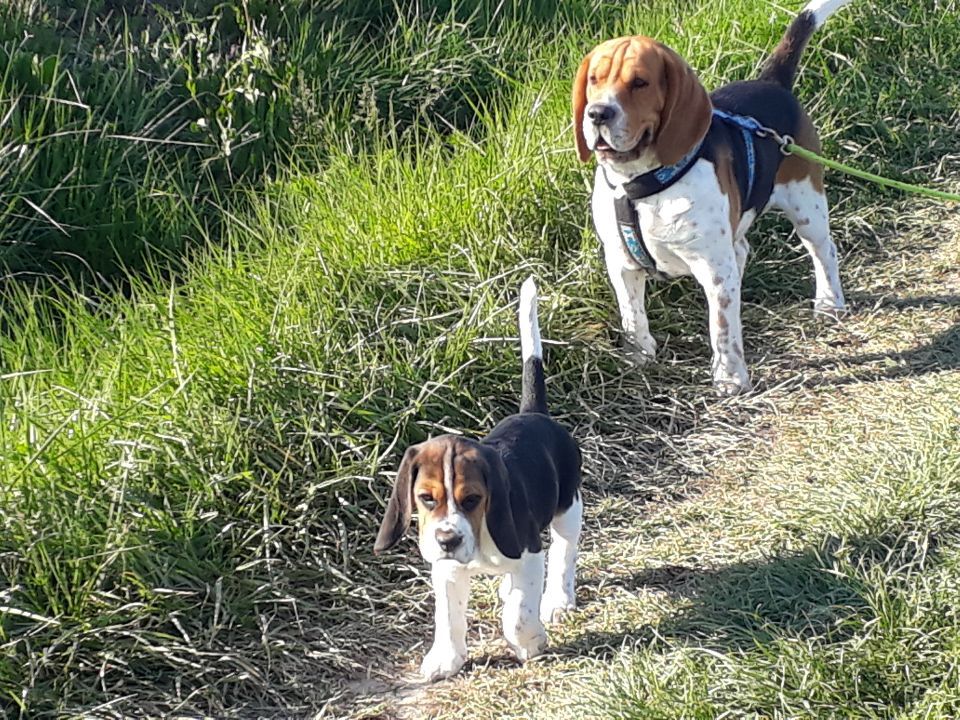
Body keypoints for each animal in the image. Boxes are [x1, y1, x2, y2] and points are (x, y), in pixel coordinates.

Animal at [376, 278, 584, 684]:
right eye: (425, 498)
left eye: (472, 499)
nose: (447, 540)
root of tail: (534, 413)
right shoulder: (446, 569)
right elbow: (448, 616)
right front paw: (447, 658)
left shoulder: (529, 552)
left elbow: (518, 613)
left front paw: (530, 642)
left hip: (569, 508)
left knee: (563, 554)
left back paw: (558, 600)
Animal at [572, 0, 852, 394]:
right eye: (594, 79)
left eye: (640, 82)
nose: (597, 113)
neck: (643, 185)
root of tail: (771, 82)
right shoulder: (621, 263)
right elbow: (632, 315)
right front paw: (638, 356)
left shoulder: (713, 270)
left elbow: (721, 328)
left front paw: (730, 378)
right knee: (743, 250)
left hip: (806, 205)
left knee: (824, 251)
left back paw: (829, 303)